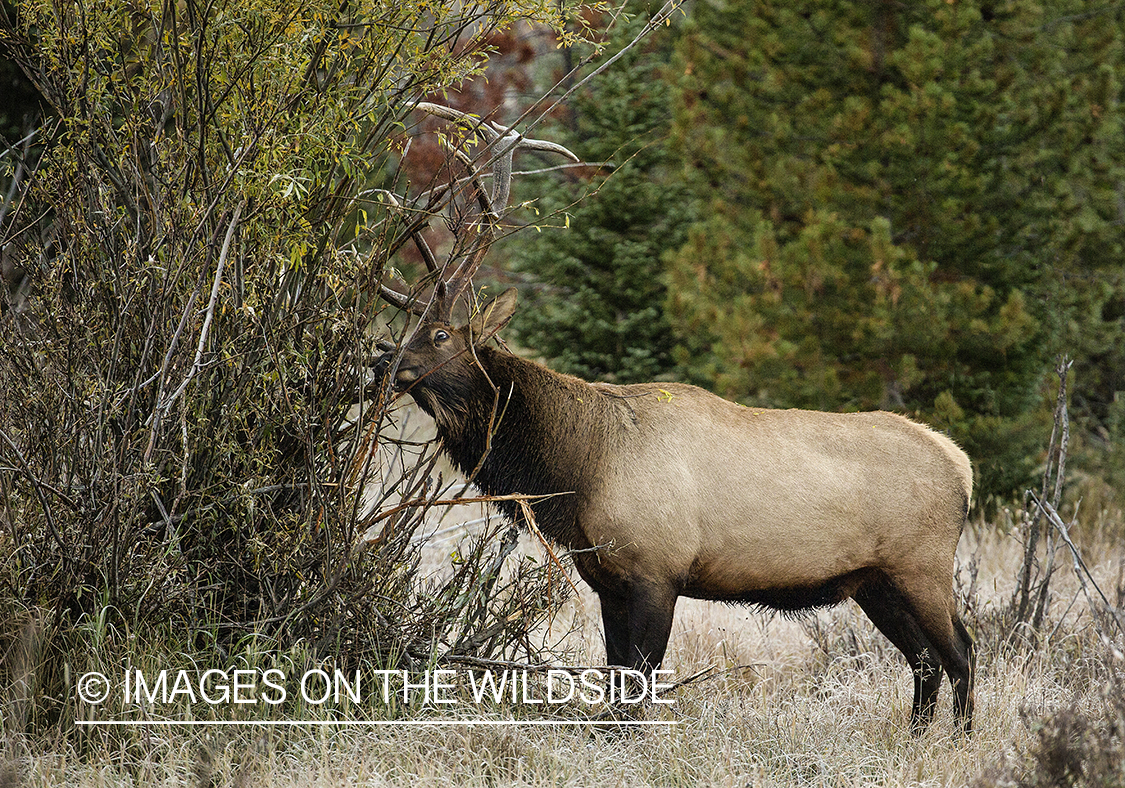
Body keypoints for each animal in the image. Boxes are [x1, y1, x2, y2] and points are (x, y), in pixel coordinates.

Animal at [378, 103, 976, 733]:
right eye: (409, 329)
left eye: (439, 336)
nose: (381, 361)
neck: (577, 472)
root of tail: (961, 466)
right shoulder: (608, 582)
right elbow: (616, 679)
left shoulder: (657, 571)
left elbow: (638, 682)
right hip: (874, 580)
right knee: (924, 659)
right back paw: (915, 736)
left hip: (921, 564)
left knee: (960, 650)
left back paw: (956, 739)